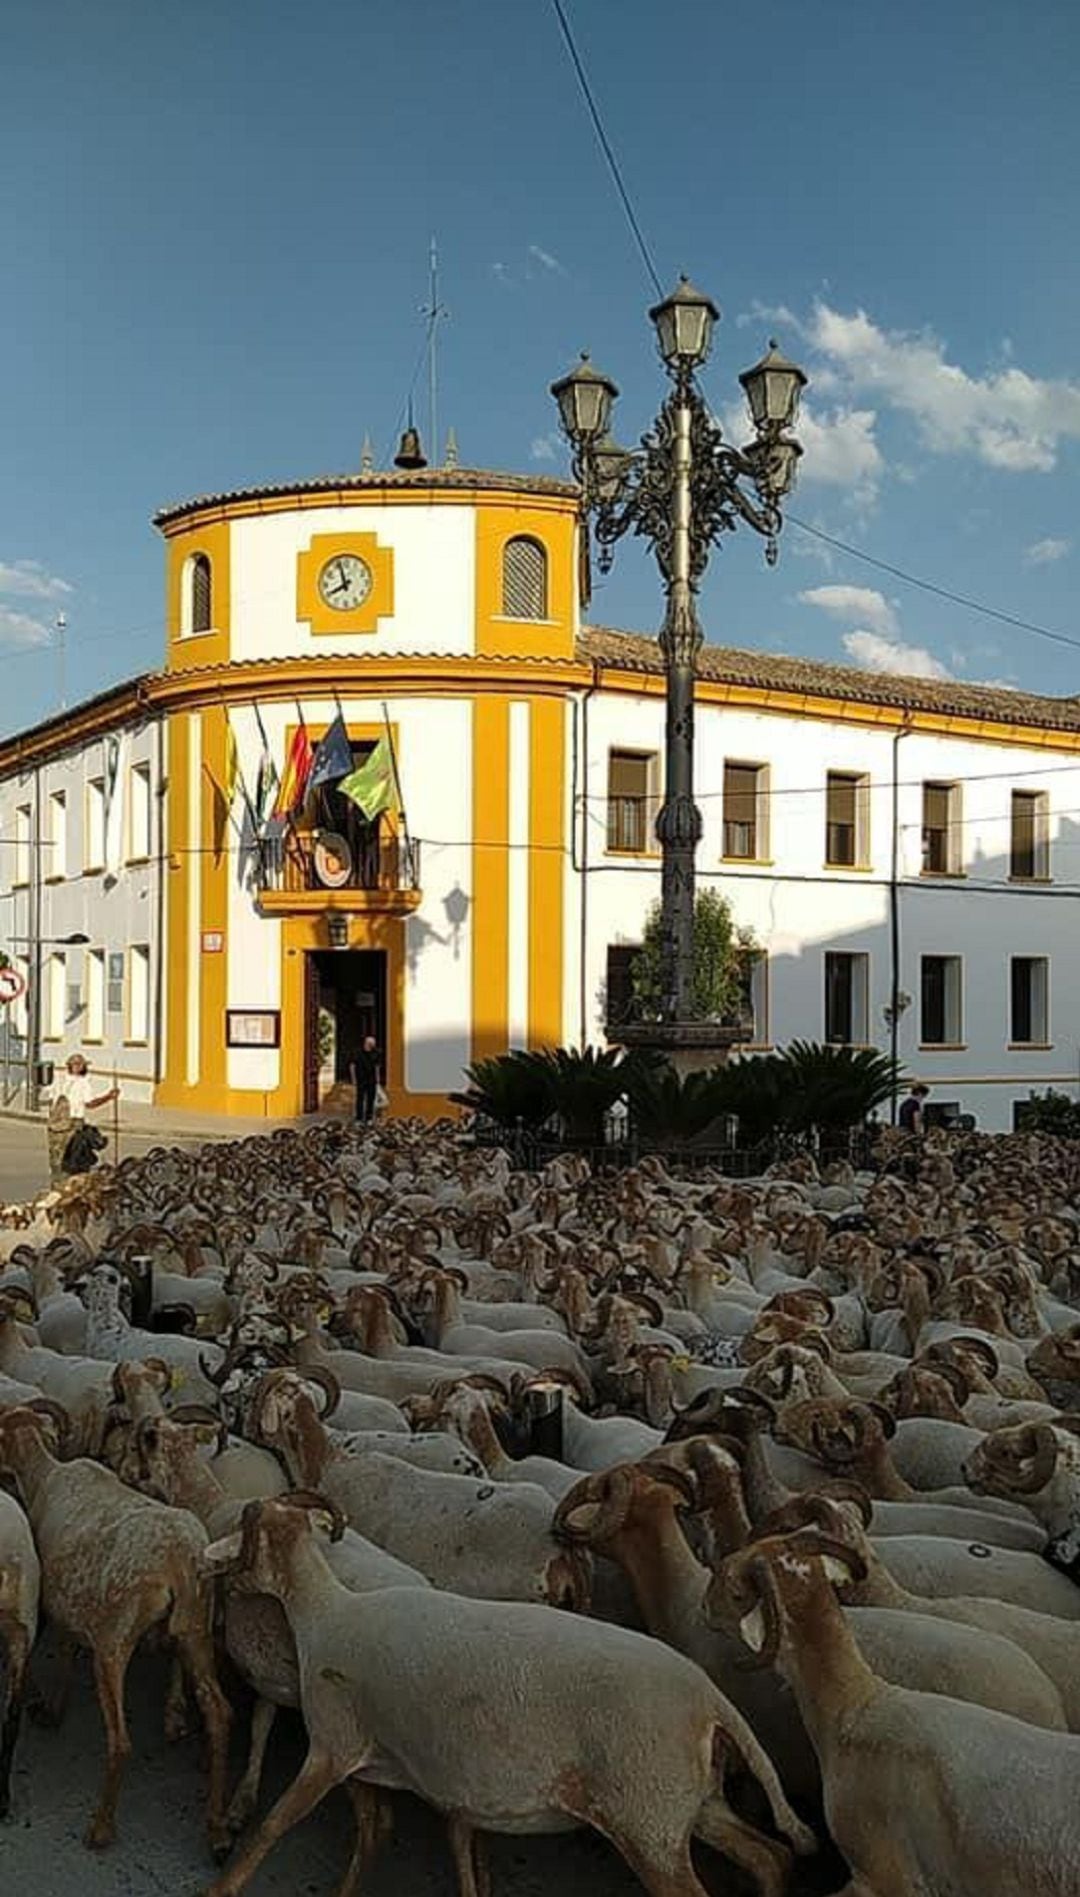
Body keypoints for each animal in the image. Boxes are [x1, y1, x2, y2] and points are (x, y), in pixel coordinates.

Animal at [0, 1403, 229, 1843]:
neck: (43, 1474)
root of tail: (177, 1560)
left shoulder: (64, 1608)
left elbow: (65, 1653)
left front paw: (52, 1712)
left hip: (114, 1641)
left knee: (121, 1742)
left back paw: (101, 1828)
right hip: (197, 1630)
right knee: (219, 1713)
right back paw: (217, 1832)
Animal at [198, 1494, 812, 1897]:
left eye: (247, 1538)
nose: (217, 1576)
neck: (325, 1613)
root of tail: (711, 1701)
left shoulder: (332, 1743)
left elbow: (274, 1827)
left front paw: (224, 1882)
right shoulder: (372, 1761)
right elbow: (379, 1833)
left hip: (647, 1819)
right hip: (686, 1803)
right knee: (771, 1856)